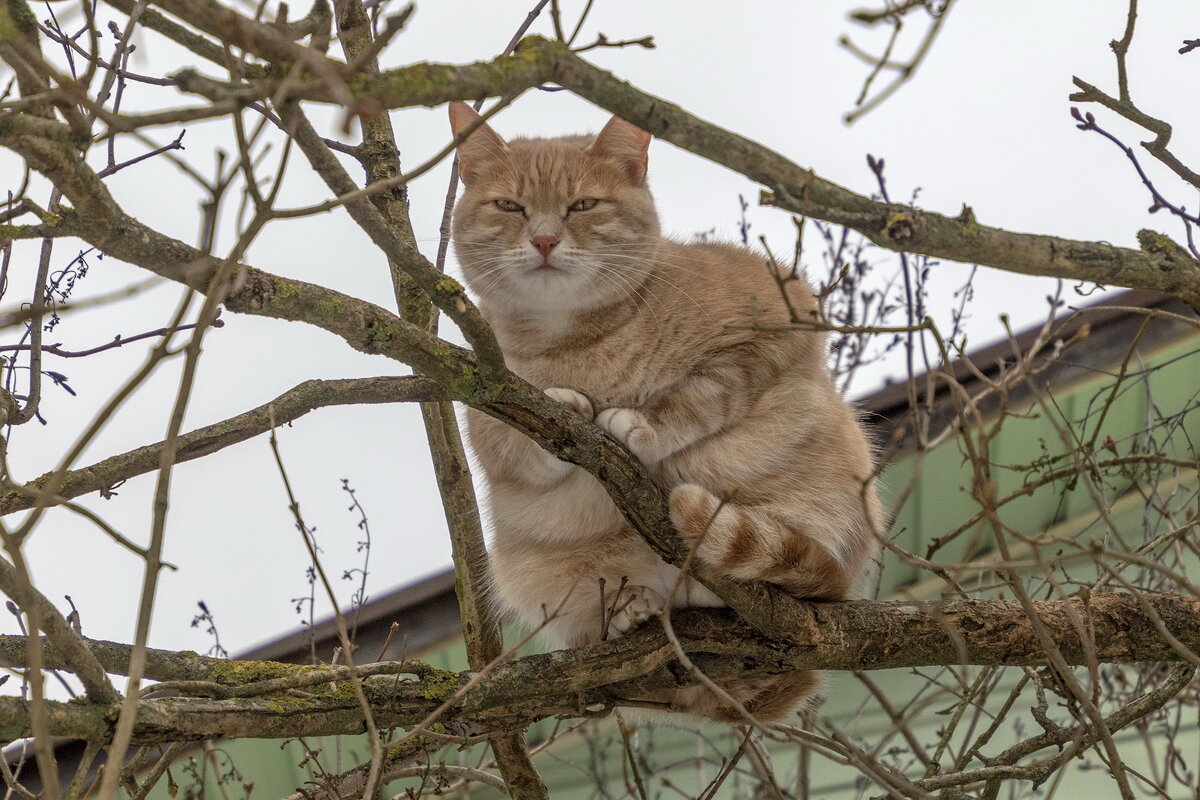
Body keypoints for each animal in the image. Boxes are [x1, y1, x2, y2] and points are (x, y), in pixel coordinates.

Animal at [446, 101, 878, 724]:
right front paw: (567, 405)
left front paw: (643, 423)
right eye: (510, 207)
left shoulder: (771, 325)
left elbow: (698, 396)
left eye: (583, 205)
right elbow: (524, 446)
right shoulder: (486, 405)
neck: (571, 342)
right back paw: (631, 608)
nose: (545, 239)